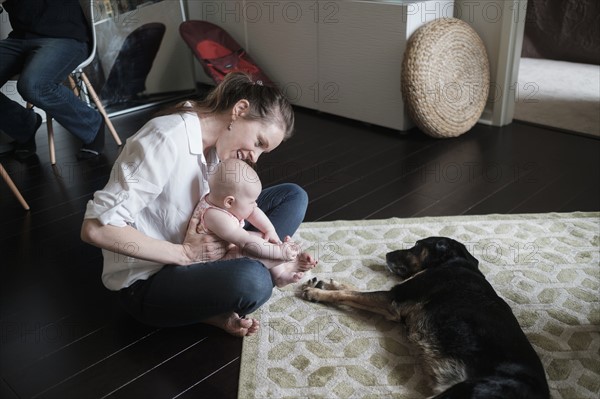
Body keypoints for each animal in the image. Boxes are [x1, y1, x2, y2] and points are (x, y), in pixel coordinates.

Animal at [302, 238, 552, 399]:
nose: (387, 255)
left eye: (416, 247)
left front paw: (317, 293)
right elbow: (351, 289)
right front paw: (327, 283)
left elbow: (351, 294)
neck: (452, 261)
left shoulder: (393, 300)